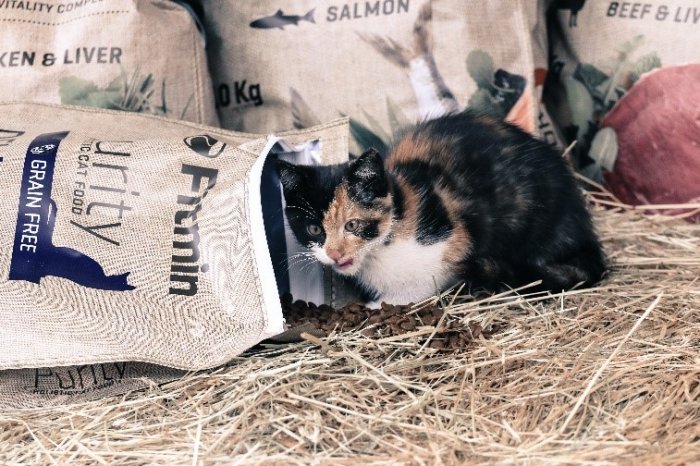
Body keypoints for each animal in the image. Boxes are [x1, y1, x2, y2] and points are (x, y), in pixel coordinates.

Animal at [276, 109, 604, 306]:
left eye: (352, 225)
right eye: (314, 229)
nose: (334, 254)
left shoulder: (452, 244)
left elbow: (416, 288)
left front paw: (373, 307)